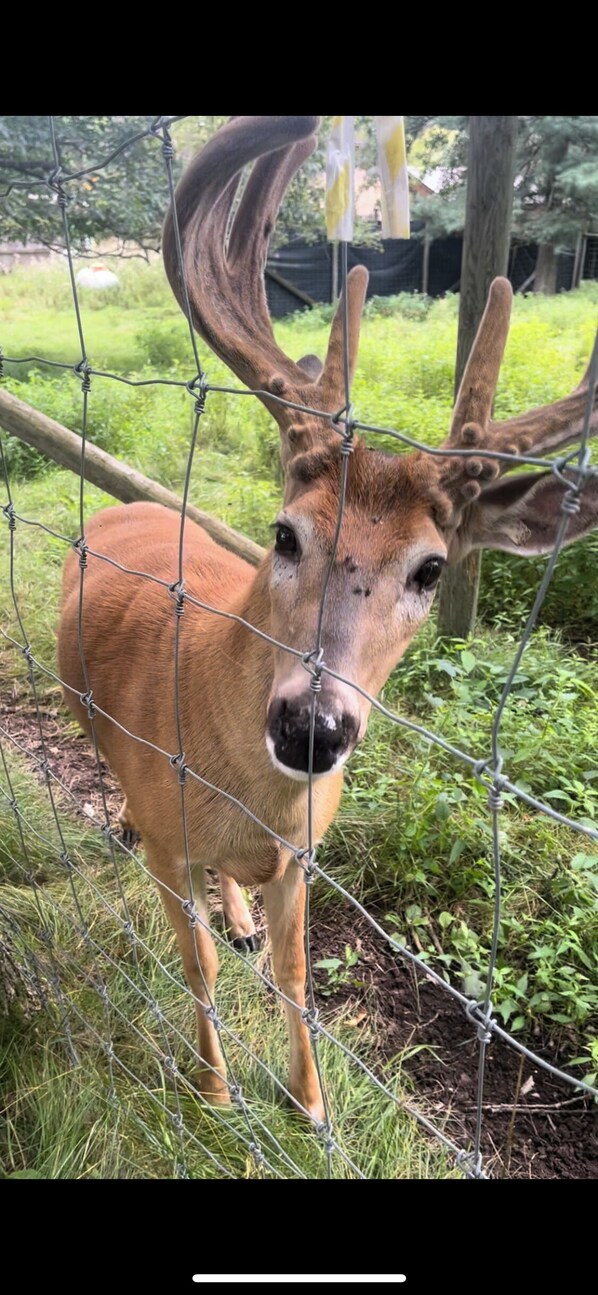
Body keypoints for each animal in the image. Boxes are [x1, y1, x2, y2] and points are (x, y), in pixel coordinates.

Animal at [57, 116, 598, 1124]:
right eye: (285, 531)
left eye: (432, 567)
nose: (312, 725)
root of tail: (125, 505)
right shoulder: (168, 839)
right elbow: (193, 965)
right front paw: (216, 1089)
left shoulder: (304, 855)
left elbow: (298, 977)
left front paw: (310, 1105)